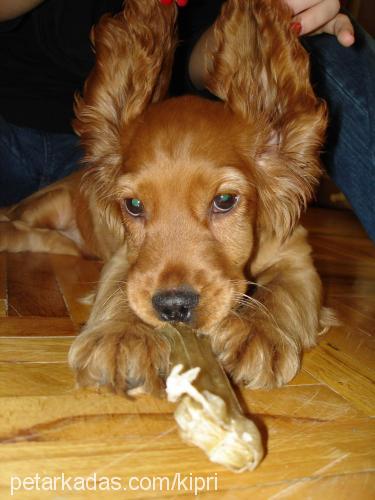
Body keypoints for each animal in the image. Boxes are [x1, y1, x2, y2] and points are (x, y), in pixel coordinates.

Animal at [0, 0, 334, 394]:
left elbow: (282, 293)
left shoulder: (298, 259)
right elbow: (122, 288)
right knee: (14, 222)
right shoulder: (125, 258)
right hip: (45, 205)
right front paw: (122, 335)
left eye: (224, 201)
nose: (174, 307)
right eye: (134, 205)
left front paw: (257, 331)